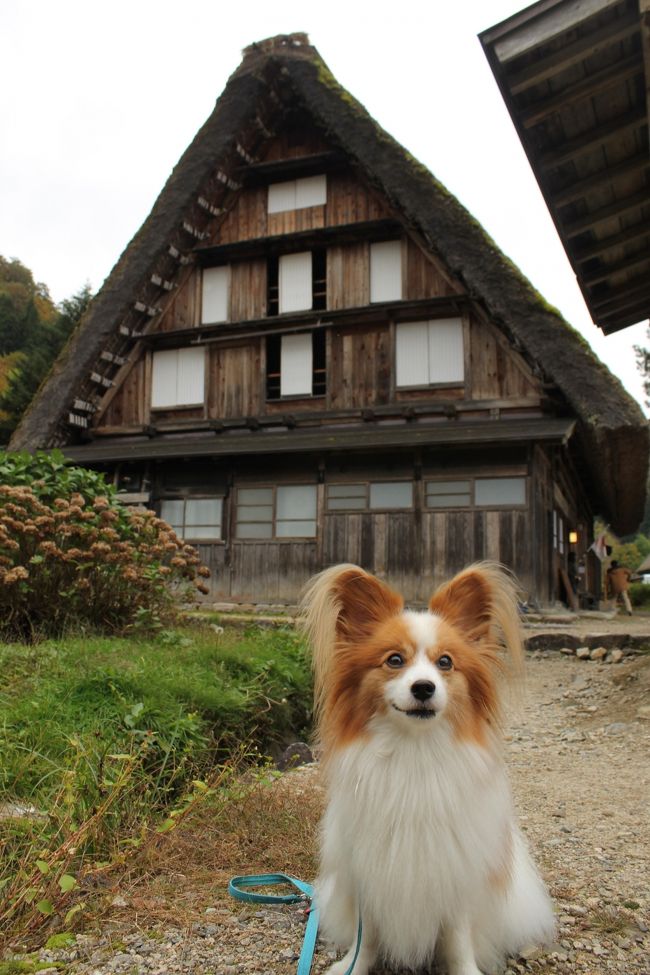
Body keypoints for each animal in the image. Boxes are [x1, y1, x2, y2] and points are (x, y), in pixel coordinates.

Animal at [302, 560, 556, 975]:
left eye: (445, 662)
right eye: (394, 660)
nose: (424, 687)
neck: (415, 751)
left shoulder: (455, 874)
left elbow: (458, 940)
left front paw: (467, 970)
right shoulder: (368, 873)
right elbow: (366, 937)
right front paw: (352, 966)